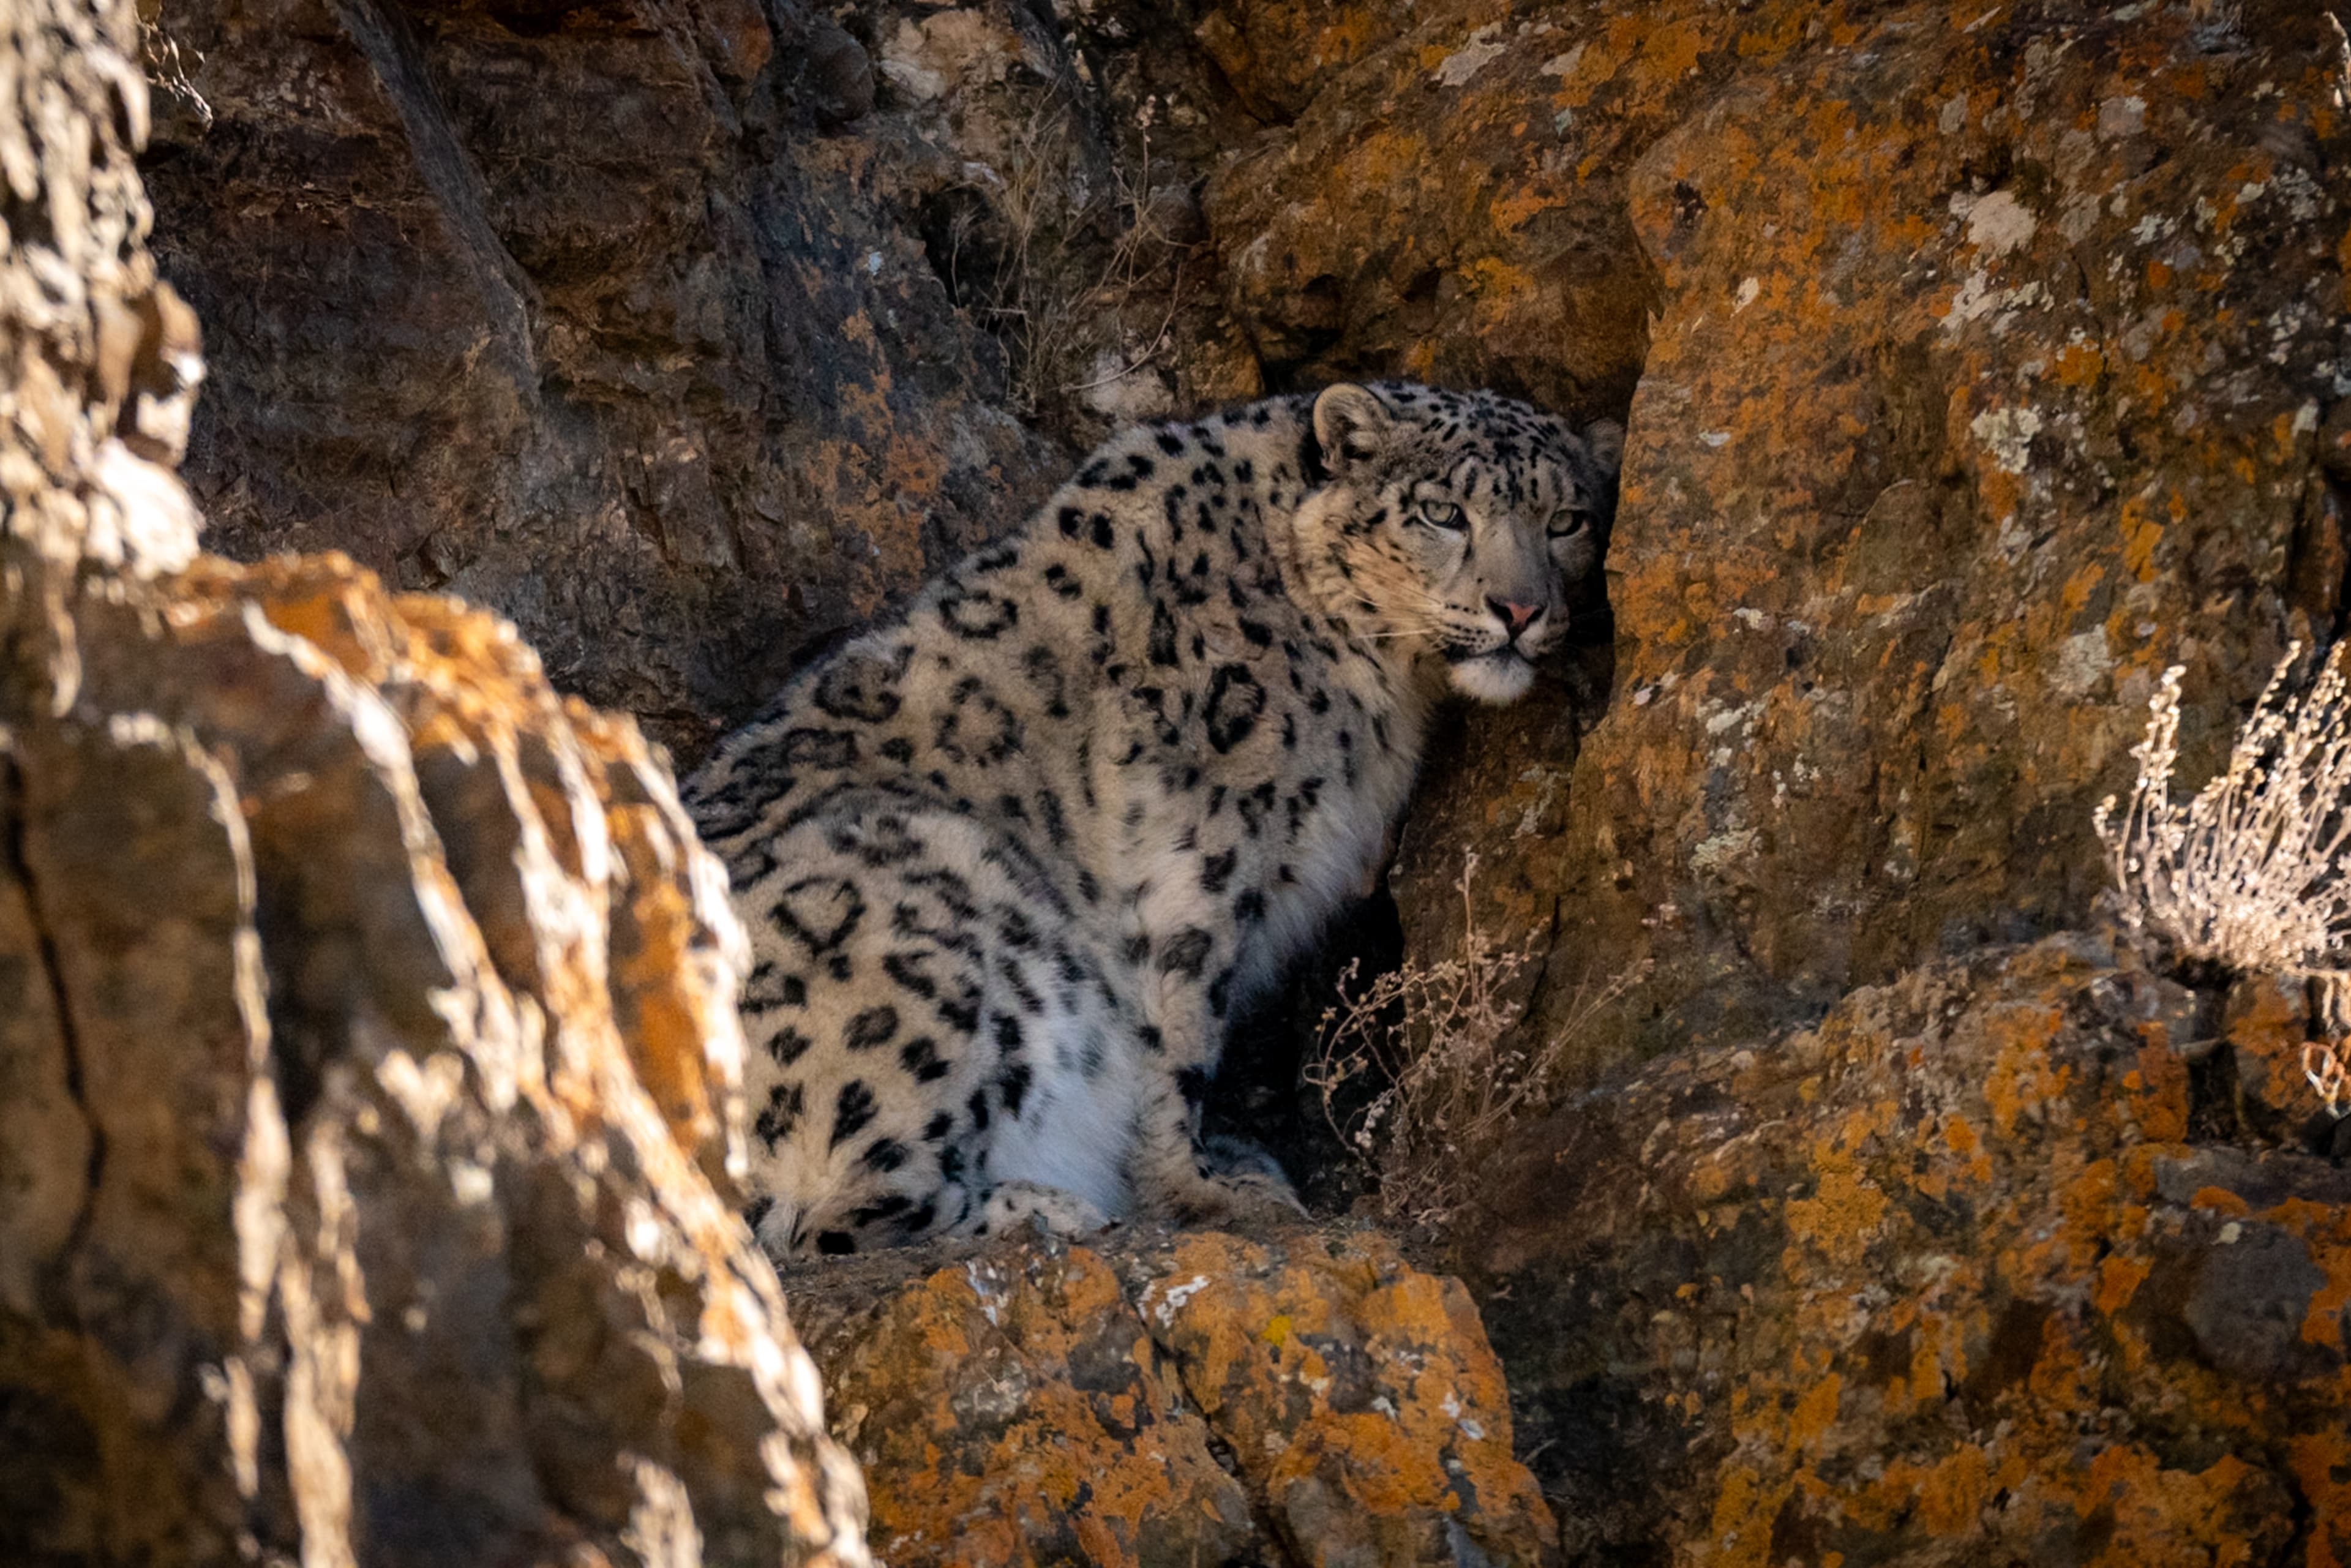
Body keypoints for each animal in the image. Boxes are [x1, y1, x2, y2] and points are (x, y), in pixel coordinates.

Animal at [682, 382, 1623, 1258]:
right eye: (1442, 512)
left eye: (1568, 520)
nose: (1520, 610)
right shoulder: (1208, 840)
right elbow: (1179, 1024)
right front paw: (1201, 1188)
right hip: (926, 896)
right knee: (819, 1224)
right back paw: (1047, 1208)